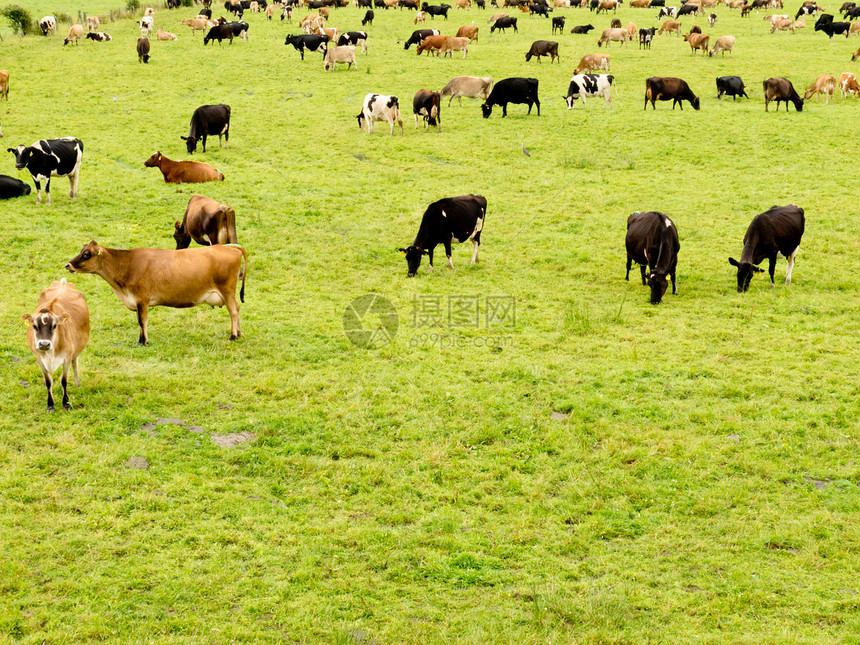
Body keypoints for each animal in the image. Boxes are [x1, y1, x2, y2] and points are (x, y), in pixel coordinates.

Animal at [22, 278, 90, 410]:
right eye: (34, 326)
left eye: (54, 326)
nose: (44, 344)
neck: (51, 354)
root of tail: (62, 283)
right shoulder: (39, 358)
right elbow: (48, 381)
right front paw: (50, 405)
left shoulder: (67, 356)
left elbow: (63, 380)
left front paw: (66, 403)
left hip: (76, 349)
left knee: (75, 362)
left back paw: (77, 383)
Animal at [66, 240, 249, 342]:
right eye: (81, 251)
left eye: (87, 254)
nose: (68, 265)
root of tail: (231, 248)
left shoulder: (142, 299)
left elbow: (142, 321)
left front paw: (143, 341)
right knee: (237, 308)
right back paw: (239, 333)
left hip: (227, 290)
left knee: (233, 311)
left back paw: (233, 336)